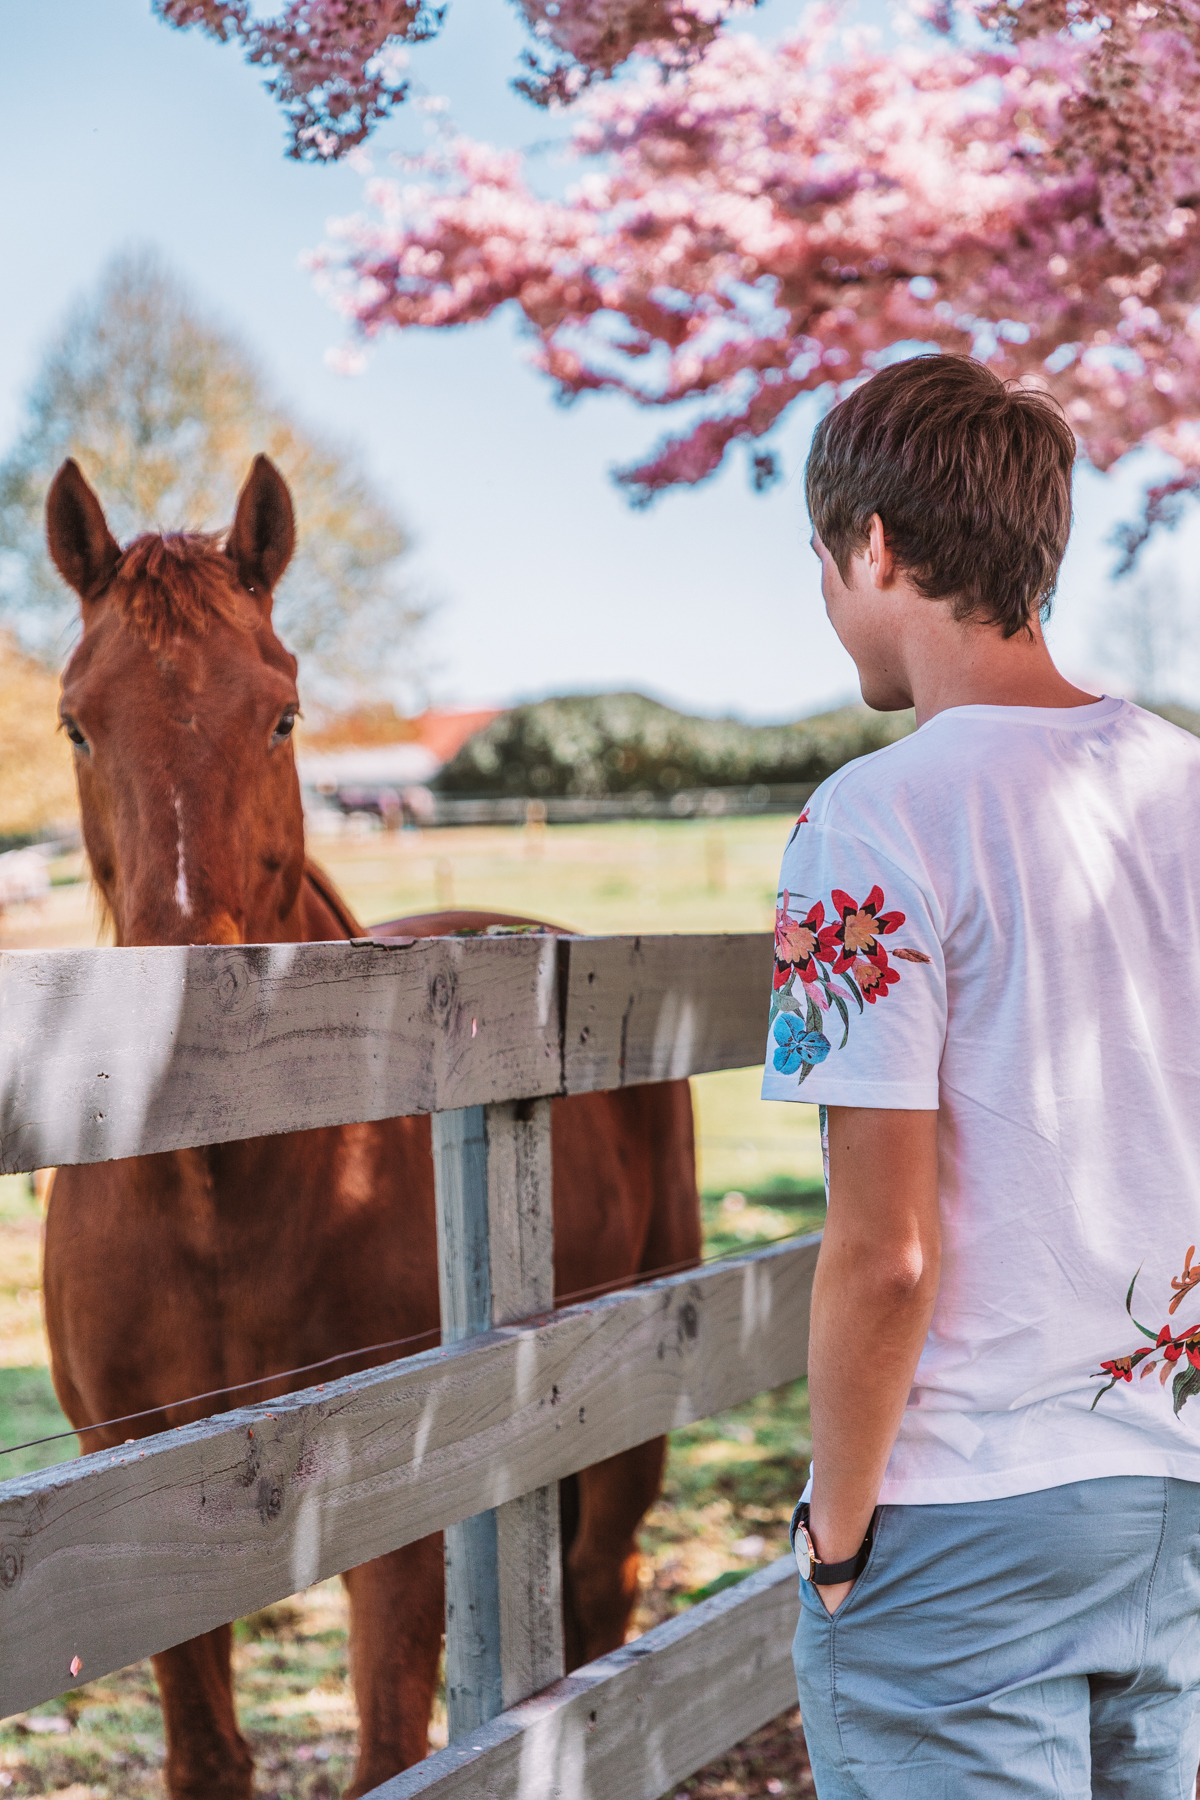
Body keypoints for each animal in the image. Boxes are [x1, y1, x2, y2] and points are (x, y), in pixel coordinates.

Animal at [42, 457, 705, 1800]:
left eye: (283, 716)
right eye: (78, 723)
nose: (189, 1005)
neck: (222, 1201)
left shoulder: (395, 1492)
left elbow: (390, 1745)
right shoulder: (133, 1500)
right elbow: (207, 1756)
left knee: (601, 1590)